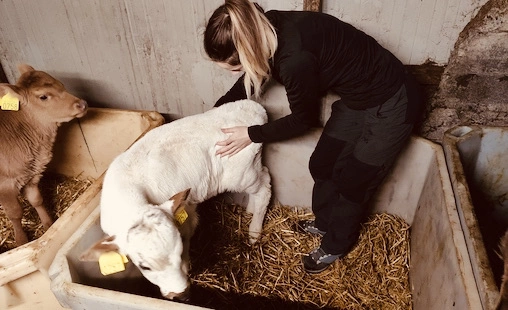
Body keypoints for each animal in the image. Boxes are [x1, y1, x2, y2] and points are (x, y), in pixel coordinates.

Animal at [0, 65, 88, 247]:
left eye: (61, 84)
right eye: (43, 96)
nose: (82, 104)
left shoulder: (32, 174)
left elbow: (37, 200)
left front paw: (48, 224)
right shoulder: (4, 186)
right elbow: (15, 213)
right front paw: (21, 241)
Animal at [80, 99, 270, 300]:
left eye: (179, 252)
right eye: (144, 267)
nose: (181, 295)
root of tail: (252, 106)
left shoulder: (186, 214)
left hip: (241, 175)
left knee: (264, 186)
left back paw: (254, 232)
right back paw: (250, 210)